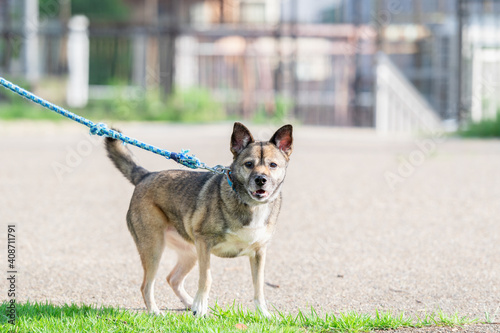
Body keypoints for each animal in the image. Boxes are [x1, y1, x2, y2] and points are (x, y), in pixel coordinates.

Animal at [105, 122, 292, 316]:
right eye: (249, 164)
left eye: (273, 165)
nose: (261, 179)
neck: (250, 204)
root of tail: (145, 175)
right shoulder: (204, 244)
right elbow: (206, 278)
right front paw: (201, 308)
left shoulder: (259, 253)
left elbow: (258, 285)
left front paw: (263, 314)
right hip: (154, 249)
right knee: (146, 286)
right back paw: (156, 311)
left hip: (190, 252)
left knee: (173, 278)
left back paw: (189, 303)